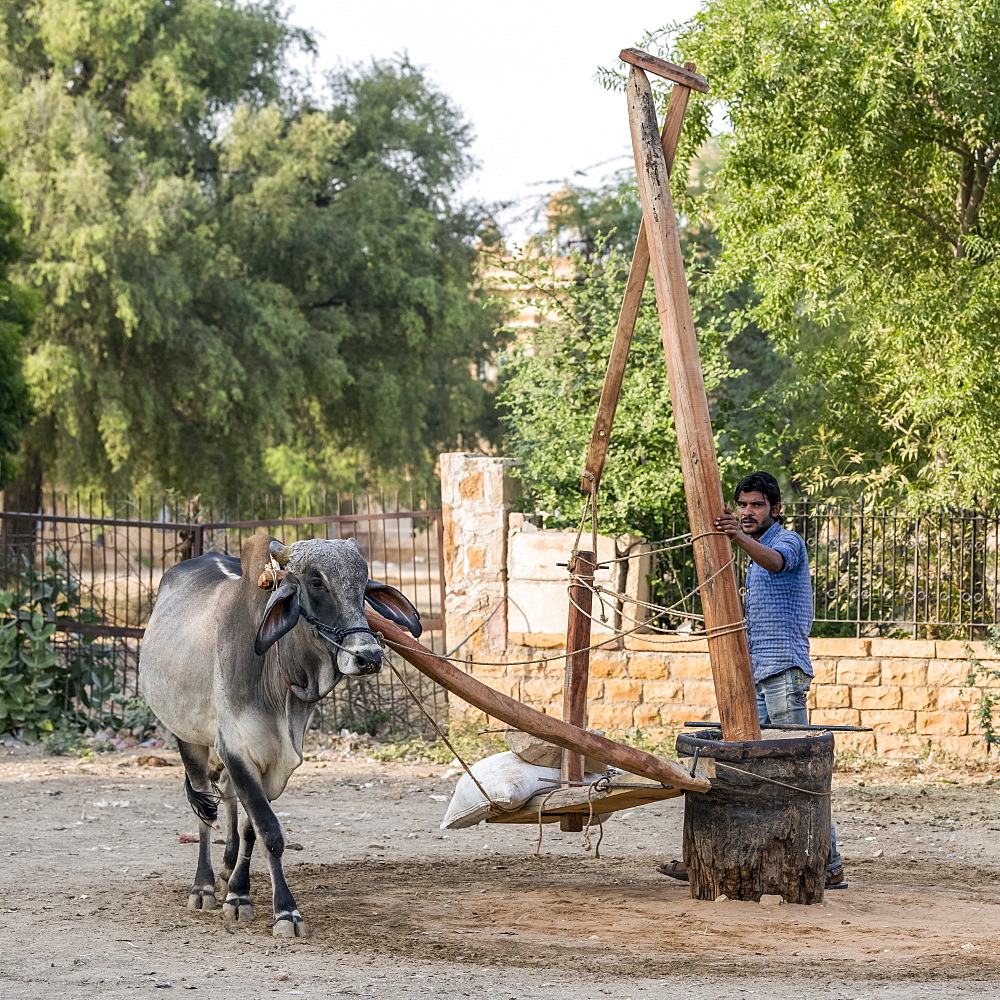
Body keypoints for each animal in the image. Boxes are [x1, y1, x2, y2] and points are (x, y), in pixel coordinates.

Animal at [139, 536, 420, 932]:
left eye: (363, 586)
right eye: (316, 583)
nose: (369, 657)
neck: (275, 675)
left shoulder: (271, 761)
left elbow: (251, 828)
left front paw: (239, 894)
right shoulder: (236, 748)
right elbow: (269, 829)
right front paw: (285, 911)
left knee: (227, 799)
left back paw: (226, 869)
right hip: (188, 738)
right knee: (204, 809)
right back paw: (204, 886)